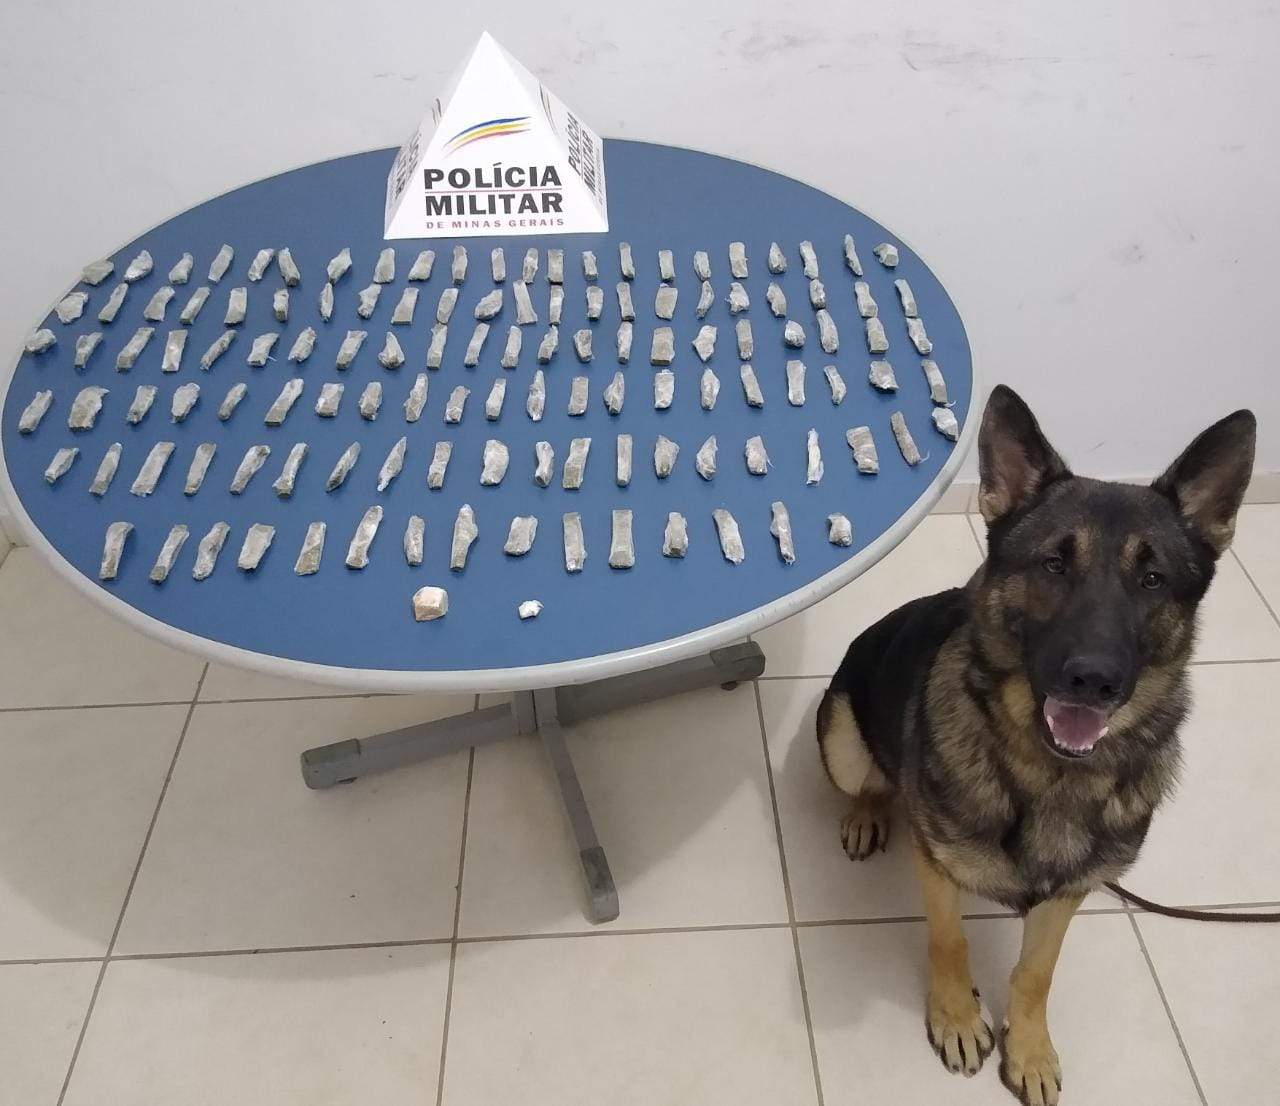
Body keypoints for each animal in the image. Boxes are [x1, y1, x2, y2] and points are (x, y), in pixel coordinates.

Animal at [816, 384, 1255, 1105]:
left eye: (1153, 580)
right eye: (1053, 564)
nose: (1093, 679)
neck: (1050, 773)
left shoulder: (1067, 894)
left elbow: (1036, 974)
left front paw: (1029, 1050)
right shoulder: (938, 867)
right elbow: (949, 943)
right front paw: (957, 1018)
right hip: (843, 740)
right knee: (873, 783)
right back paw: (867, 815)